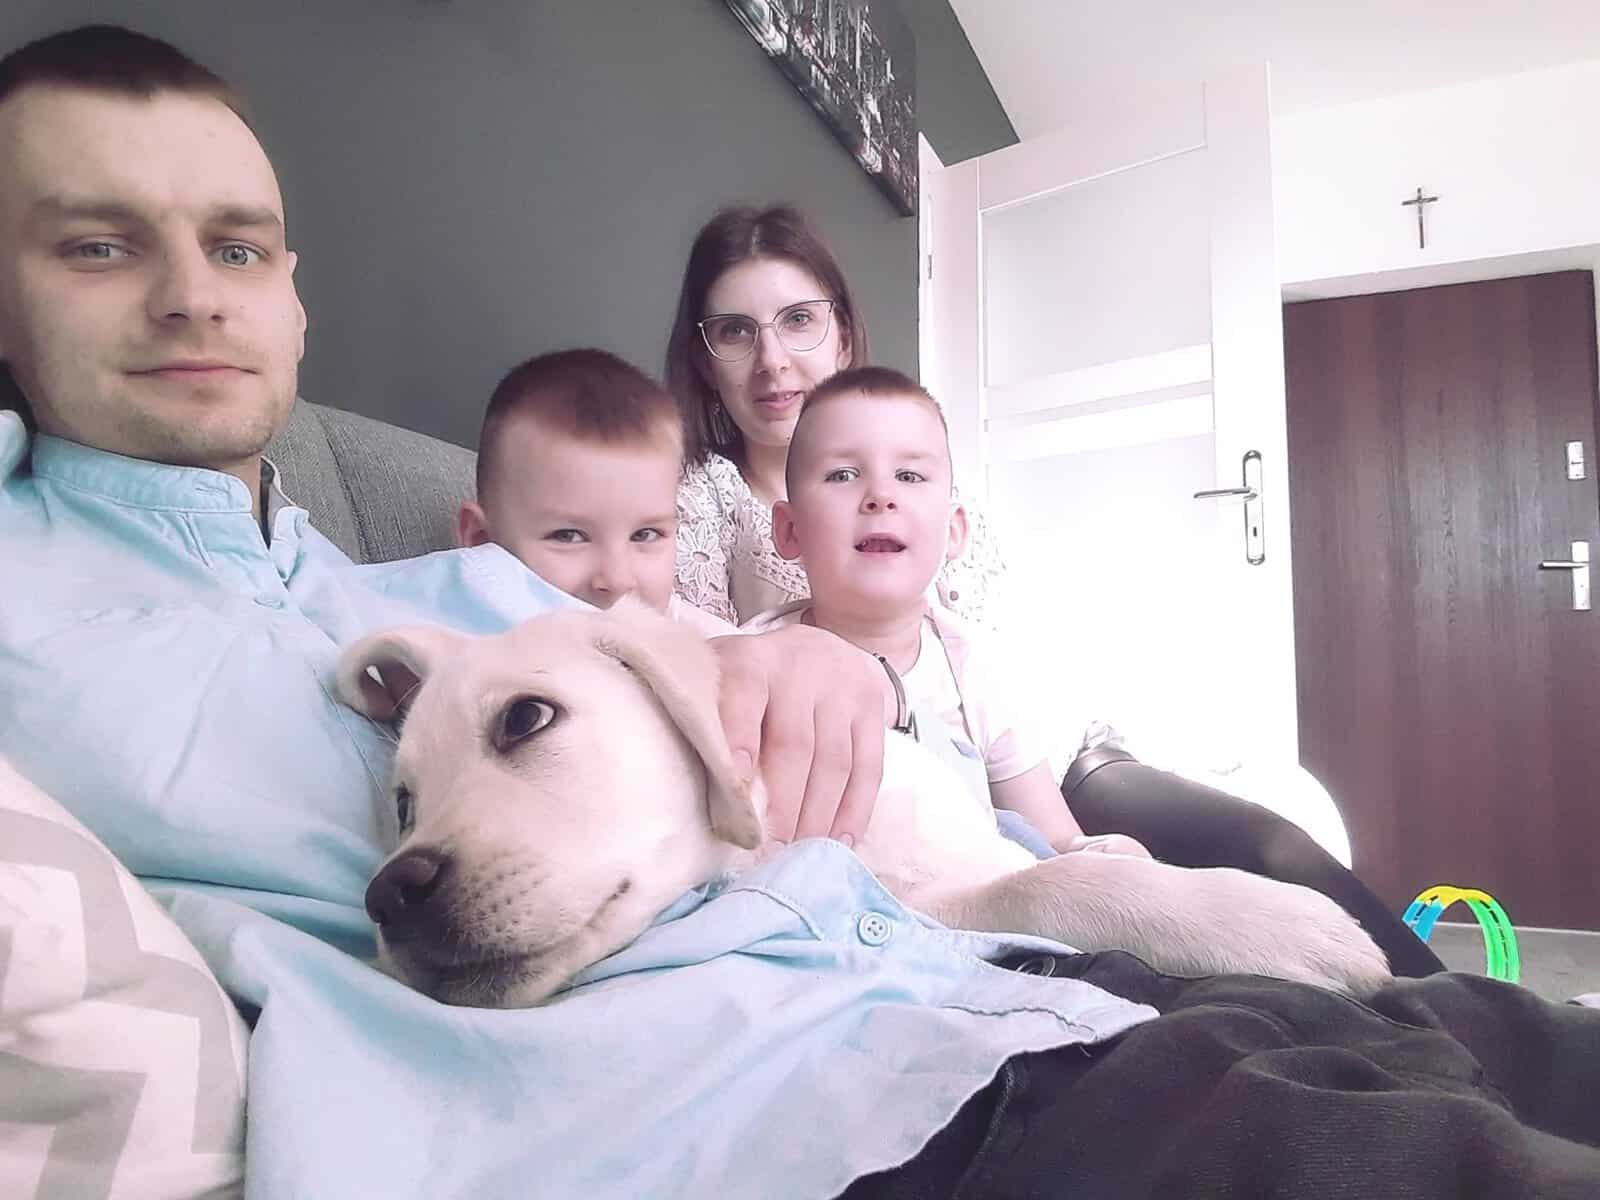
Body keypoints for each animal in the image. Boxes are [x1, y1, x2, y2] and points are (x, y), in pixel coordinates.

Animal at [335, 600, 1392, 1007]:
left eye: (525, 719)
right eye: (403, 804)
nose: (391, 893)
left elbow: (1058, 867)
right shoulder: (938, 904)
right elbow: (1045, 889)